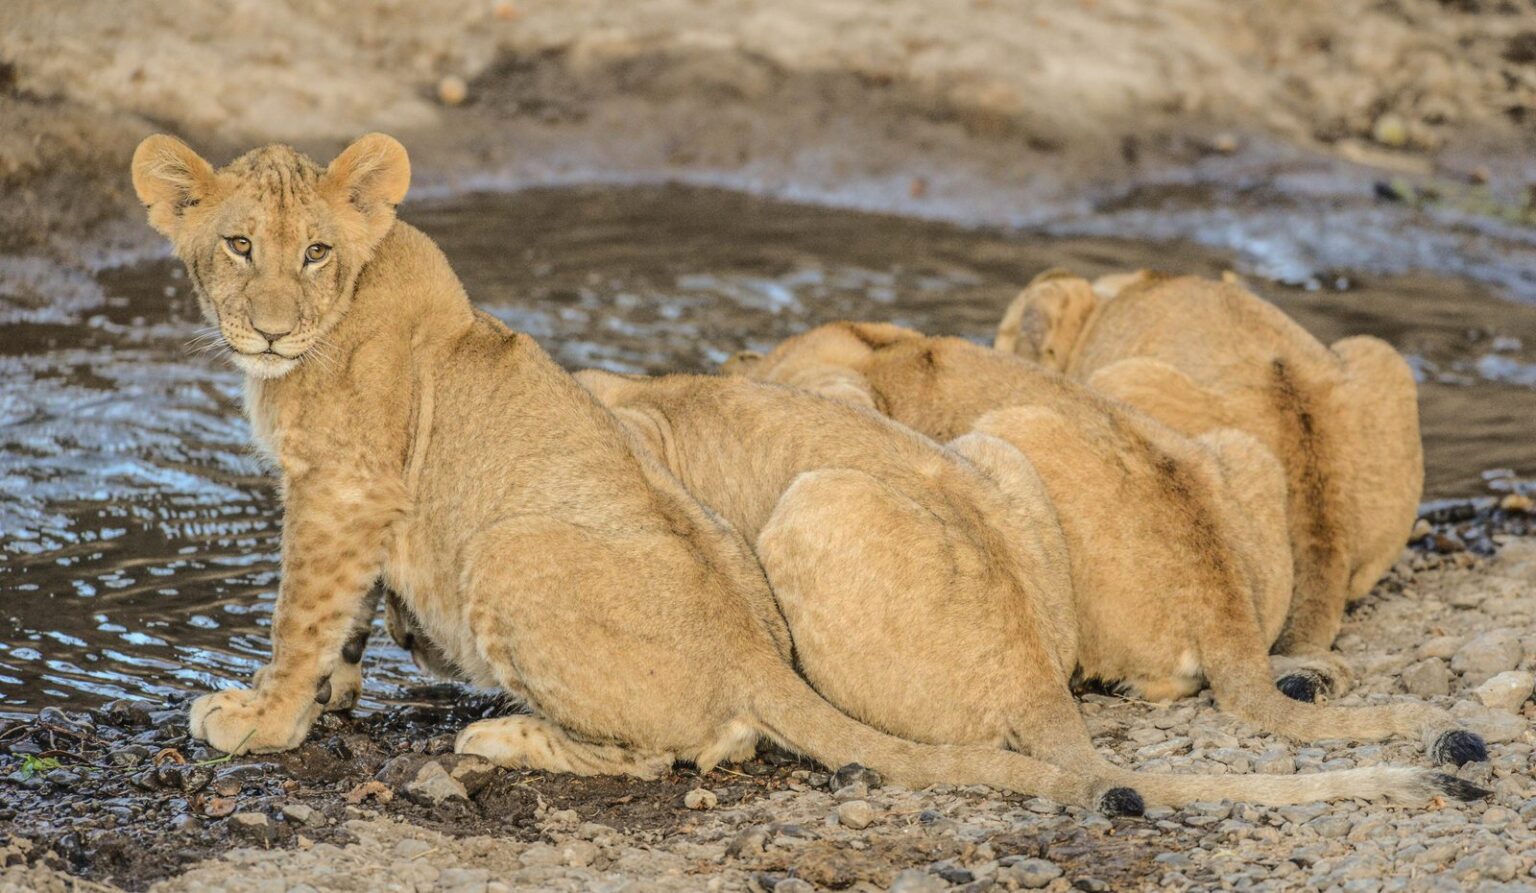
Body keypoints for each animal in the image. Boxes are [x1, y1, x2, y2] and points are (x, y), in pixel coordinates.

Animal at [132, 133, 1147, 812]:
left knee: (671, 751)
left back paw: (503, 734)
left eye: (315, 251)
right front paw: (328, 693)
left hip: (509, 549)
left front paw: (264, 719)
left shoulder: (344, 483)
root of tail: (751, 650)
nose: (270, 330)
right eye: (238, 245)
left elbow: (301, 610)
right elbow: (342, 610)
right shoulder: (352, 498)